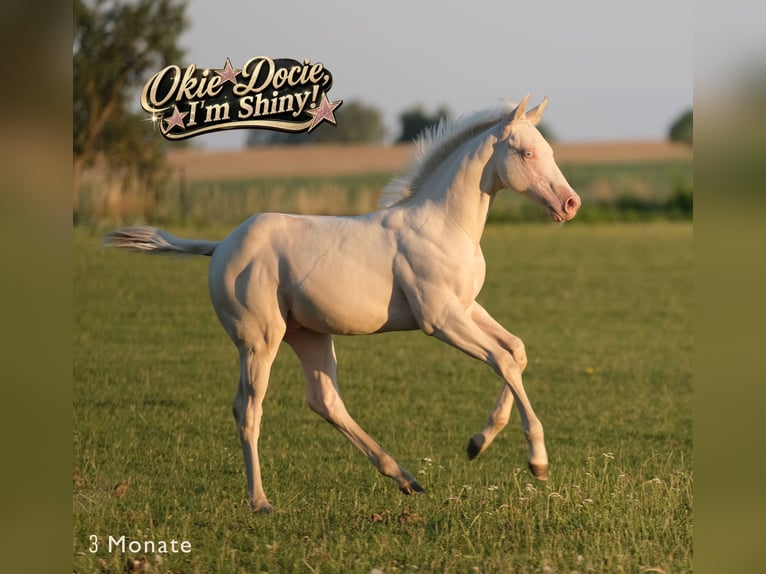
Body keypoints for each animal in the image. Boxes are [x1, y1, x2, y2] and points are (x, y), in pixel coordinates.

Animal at [104, 95, 581, 513]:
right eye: (526, 153)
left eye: (548, 150)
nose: (570, 203)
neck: (444, 225)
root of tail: (221, 245)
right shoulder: (440, 319)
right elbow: (503, 360)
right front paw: (537, 460)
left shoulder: (466, 307)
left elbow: (516, 351)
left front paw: (477, 443)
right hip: (259, 341)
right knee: (248, 410)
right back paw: (261, 501)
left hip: (309, 335)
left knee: (325, 401)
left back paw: (405, 478)